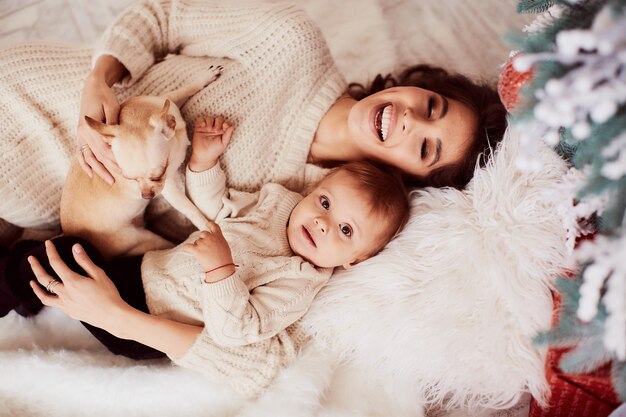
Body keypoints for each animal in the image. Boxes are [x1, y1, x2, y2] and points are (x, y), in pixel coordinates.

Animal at [58, 66, 219, 256]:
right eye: (130, 179)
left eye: (157, 176)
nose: (146, 195)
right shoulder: (169, 188)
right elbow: (189, 208)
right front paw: (206, 228)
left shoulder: (167, 102)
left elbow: (183, 90)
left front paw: (203, 78)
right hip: (144, 240)